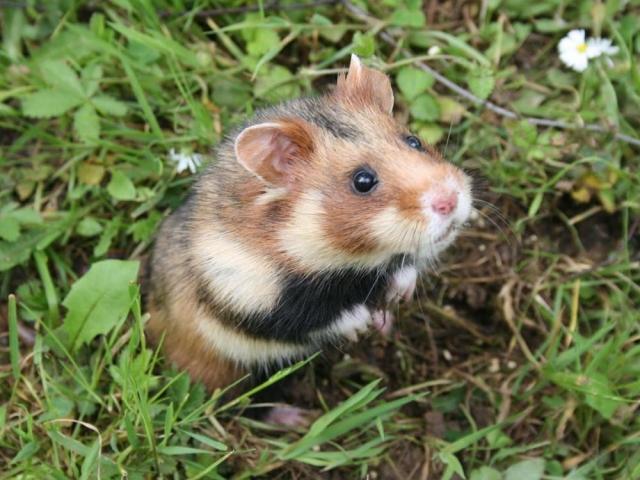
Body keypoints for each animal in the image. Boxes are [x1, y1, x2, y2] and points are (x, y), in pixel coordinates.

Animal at [145, 55, 473, 391]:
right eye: (363, 181)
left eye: (414, 141)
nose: (450, 201)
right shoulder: (246, 294)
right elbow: (312, 318)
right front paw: (361, 325)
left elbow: (405, 268)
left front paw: (398, 296)